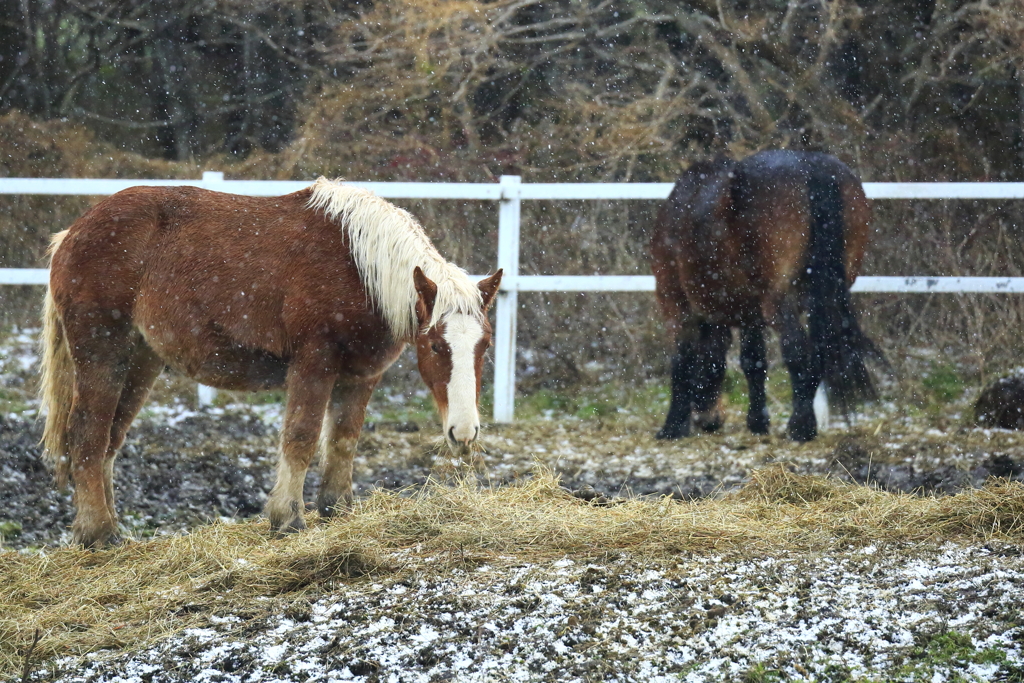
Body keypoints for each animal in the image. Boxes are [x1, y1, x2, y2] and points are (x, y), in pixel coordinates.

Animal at [37, 179, 501, 548]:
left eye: (485, 346)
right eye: (437, 346)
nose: (464, 432)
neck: (360, 266)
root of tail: (72, 233)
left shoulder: (362, 375)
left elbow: (344, 439)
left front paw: (337, 509)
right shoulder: (314, 364)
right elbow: (301, 437)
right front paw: (288, 518)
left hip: (140, 362)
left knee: (110, 439)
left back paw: (108, 527)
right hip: (102, 354)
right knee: (88, 434)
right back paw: (98, 533)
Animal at [651, 149, 876, 444]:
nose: (709, 419)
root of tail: (812, 167)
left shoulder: (677, 305)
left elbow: (681, 361)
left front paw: (672, 427)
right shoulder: (749, 313)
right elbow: (753, 361)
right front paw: (758, 422)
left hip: (778, 301)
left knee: (797, 350)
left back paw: (801, 427)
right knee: (818, 349)